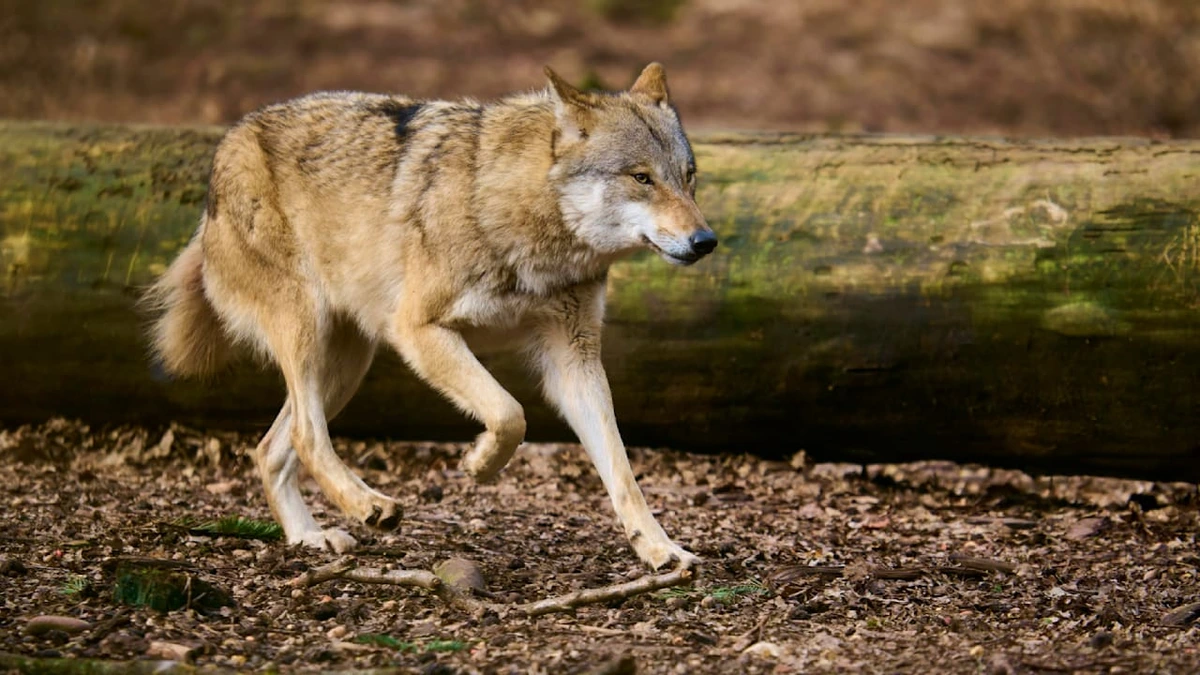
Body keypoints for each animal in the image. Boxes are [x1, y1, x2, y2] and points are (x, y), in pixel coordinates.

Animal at [144, 63, 716, 570]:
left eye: (688, 179)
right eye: (641, 178)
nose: (706, 241)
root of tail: (231, 139)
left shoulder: (575, 360)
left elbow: (622, 473)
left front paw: (661, 549)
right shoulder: (418, 330)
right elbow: (509, 413)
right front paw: (480, 463)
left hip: (347, 365)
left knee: (270, 450)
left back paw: (310, 537)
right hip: (311, 335)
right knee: (307, 436)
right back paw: (369, 507)